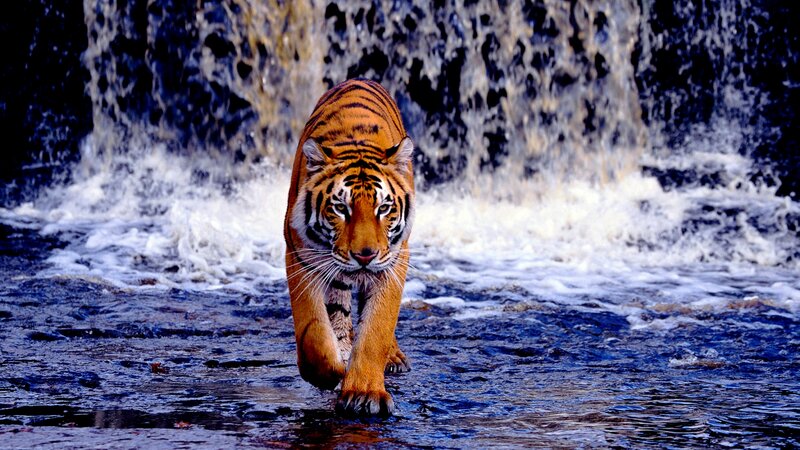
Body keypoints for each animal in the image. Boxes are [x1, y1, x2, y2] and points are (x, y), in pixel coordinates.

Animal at [283, 79, 415, 416]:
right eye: (340, 208)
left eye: (384, 208)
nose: (364, 255)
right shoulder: (301, 256)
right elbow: (313, 330)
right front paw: (329, 372)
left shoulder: (393, 262)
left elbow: (377, 329)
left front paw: (364, 392)